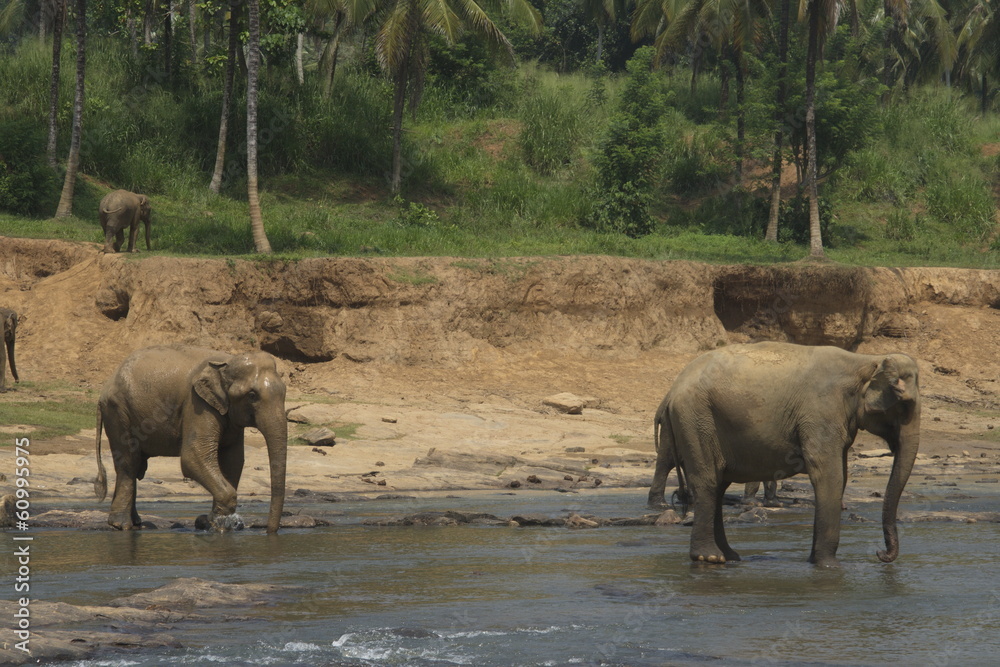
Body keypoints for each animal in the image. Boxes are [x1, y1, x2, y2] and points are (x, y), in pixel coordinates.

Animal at [94, 345, 287, 533]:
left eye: (285, 392)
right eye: (252, 395)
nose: (268, 531)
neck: (227, 361)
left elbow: (233, 460)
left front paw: (213, 521)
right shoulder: (197, 404)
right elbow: (193, 456)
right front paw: (219, 523)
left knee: (136, 465)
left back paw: (134, 523)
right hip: (118, 413)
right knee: (129, 463)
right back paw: (122, 525)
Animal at [648, 342, 920, 567]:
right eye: (904, 405)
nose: (880, 554)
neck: (865, 361)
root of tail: (671, 392)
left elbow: (840, 473)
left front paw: (815, 561)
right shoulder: (822, 412)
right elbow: (828, 474)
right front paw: (830, 566)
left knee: (718, 485)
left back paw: (730, 556)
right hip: (696, 421)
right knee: (708, 482)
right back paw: (710, 558)